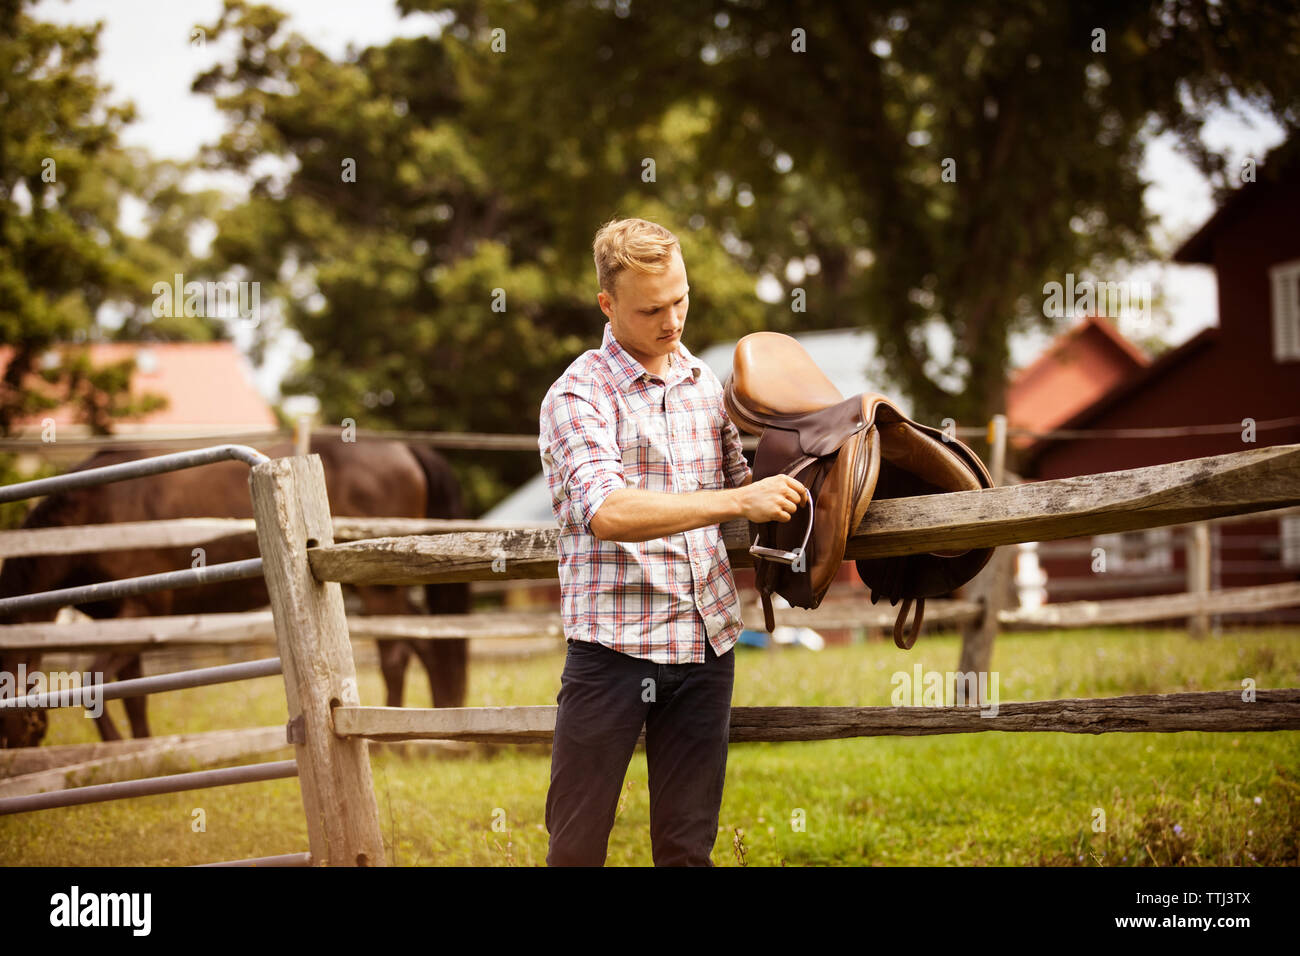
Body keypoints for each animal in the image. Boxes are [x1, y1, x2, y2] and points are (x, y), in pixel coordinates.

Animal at [0, 437, 473, 749]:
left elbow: (92, 680)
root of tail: (403, 448)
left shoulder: (144, 609)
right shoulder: (119, 623)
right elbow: (133, 693)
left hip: (378, 591)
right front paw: (137, 751)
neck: (96, 512)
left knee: (397, 656)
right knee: (427, 645)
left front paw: (118, 746)